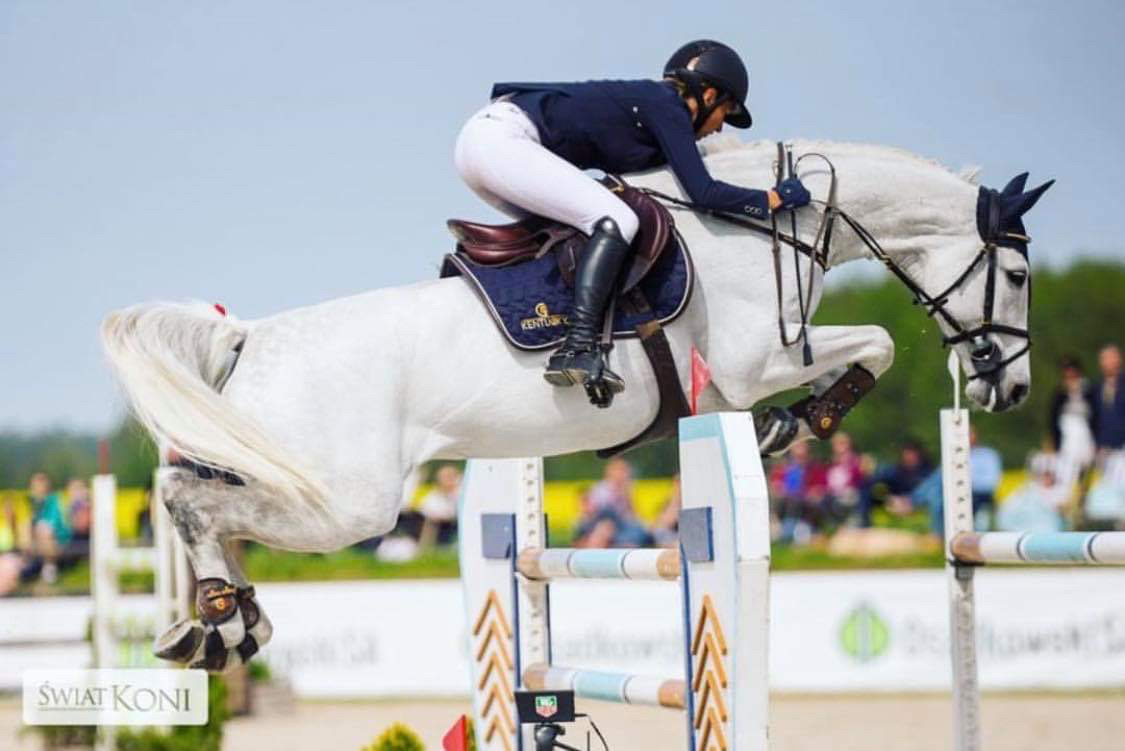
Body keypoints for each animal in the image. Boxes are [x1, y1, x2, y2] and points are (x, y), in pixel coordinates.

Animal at [100, 138, 1051, 670]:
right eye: (1015, 274)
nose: (1007, 387)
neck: (765, 227)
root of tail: (251, 335)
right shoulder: (748, 366)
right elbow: (878, 342)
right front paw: (800, 421)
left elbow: (872, 344)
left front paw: (794, 422)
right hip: (346, 503)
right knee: (190, 500)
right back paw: (219, 620)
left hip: (294, 477)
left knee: (199, 504)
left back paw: (225, 624)